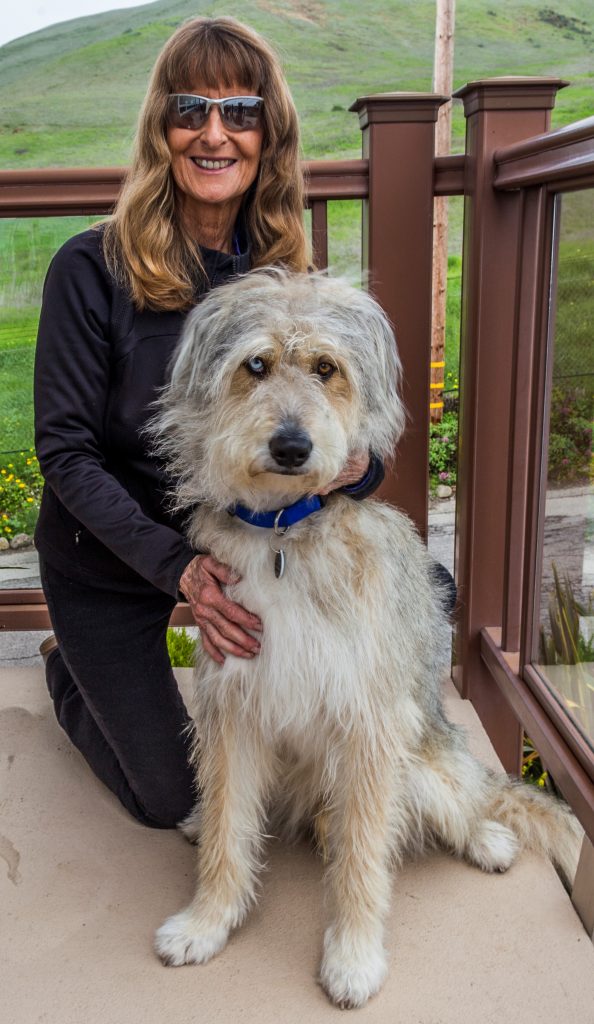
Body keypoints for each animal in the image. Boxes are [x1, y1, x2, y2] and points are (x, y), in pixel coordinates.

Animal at [150, 270, 581, 1007]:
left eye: (327, 369)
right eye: (255, 366)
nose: (292, 447)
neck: (285, 536)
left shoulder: (371, 726)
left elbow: (363, 857)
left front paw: (353, 956)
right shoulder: (231, 709)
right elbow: (231, 829)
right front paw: (207, 921)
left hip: (425, 762)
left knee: (463, 802)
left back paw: (488, 839)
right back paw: (204, 819)